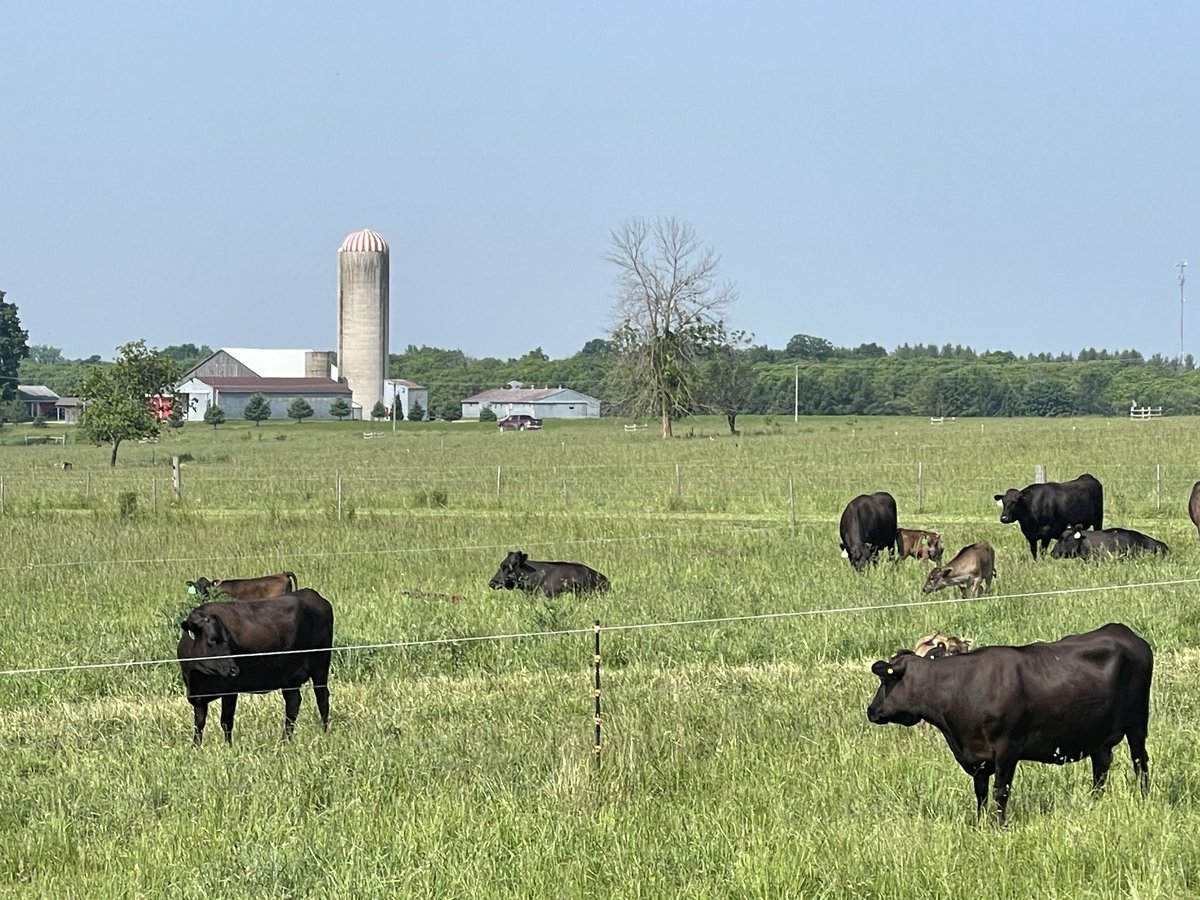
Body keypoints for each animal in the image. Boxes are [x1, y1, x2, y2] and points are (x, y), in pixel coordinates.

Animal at [175, 592, 333, 748]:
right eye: (212, 640)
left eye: (228, 640)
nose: (234, 670)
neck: (197, 677)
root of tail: (311, 594)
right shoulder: (198, 696)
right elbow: (199, 723)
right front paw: (195, 747)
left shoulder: (230, 690)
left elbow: (226, 721)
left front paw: (228, 747)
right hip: (290, 677)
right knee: (293, 703)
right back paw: (284, 741)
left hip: (320, 666)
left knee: (322, 698)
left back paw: (324, 734)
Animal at [873, 624, 1152, 830]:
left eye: (885, 680)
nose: (871, 711)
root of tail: (1124, 632)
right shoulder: (978, 757)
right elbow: (981, 793)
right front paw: (979, 824)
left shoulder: (1007, 749)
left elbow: (1001, 791)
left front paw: (1000, 826)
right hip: (1097, 736)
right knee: (1101, 769)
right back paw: (1094, 803)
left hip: (1137, 724)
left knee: (1140, 762)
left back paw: (1144, 798)